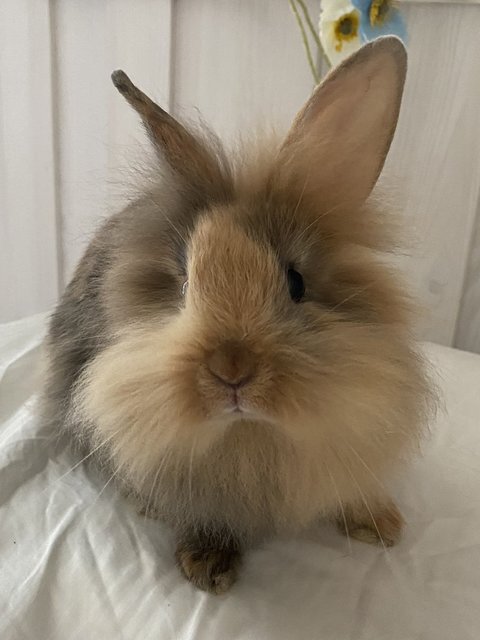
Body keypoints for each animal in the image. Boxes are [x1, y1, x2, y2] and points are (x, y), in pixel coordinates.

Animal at [41, 36, 432, 596]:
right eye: (183, 283)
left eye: (296, 282)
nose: (232, 371)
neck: (250, 435)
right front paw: (207, 563)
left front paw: (381, 524)